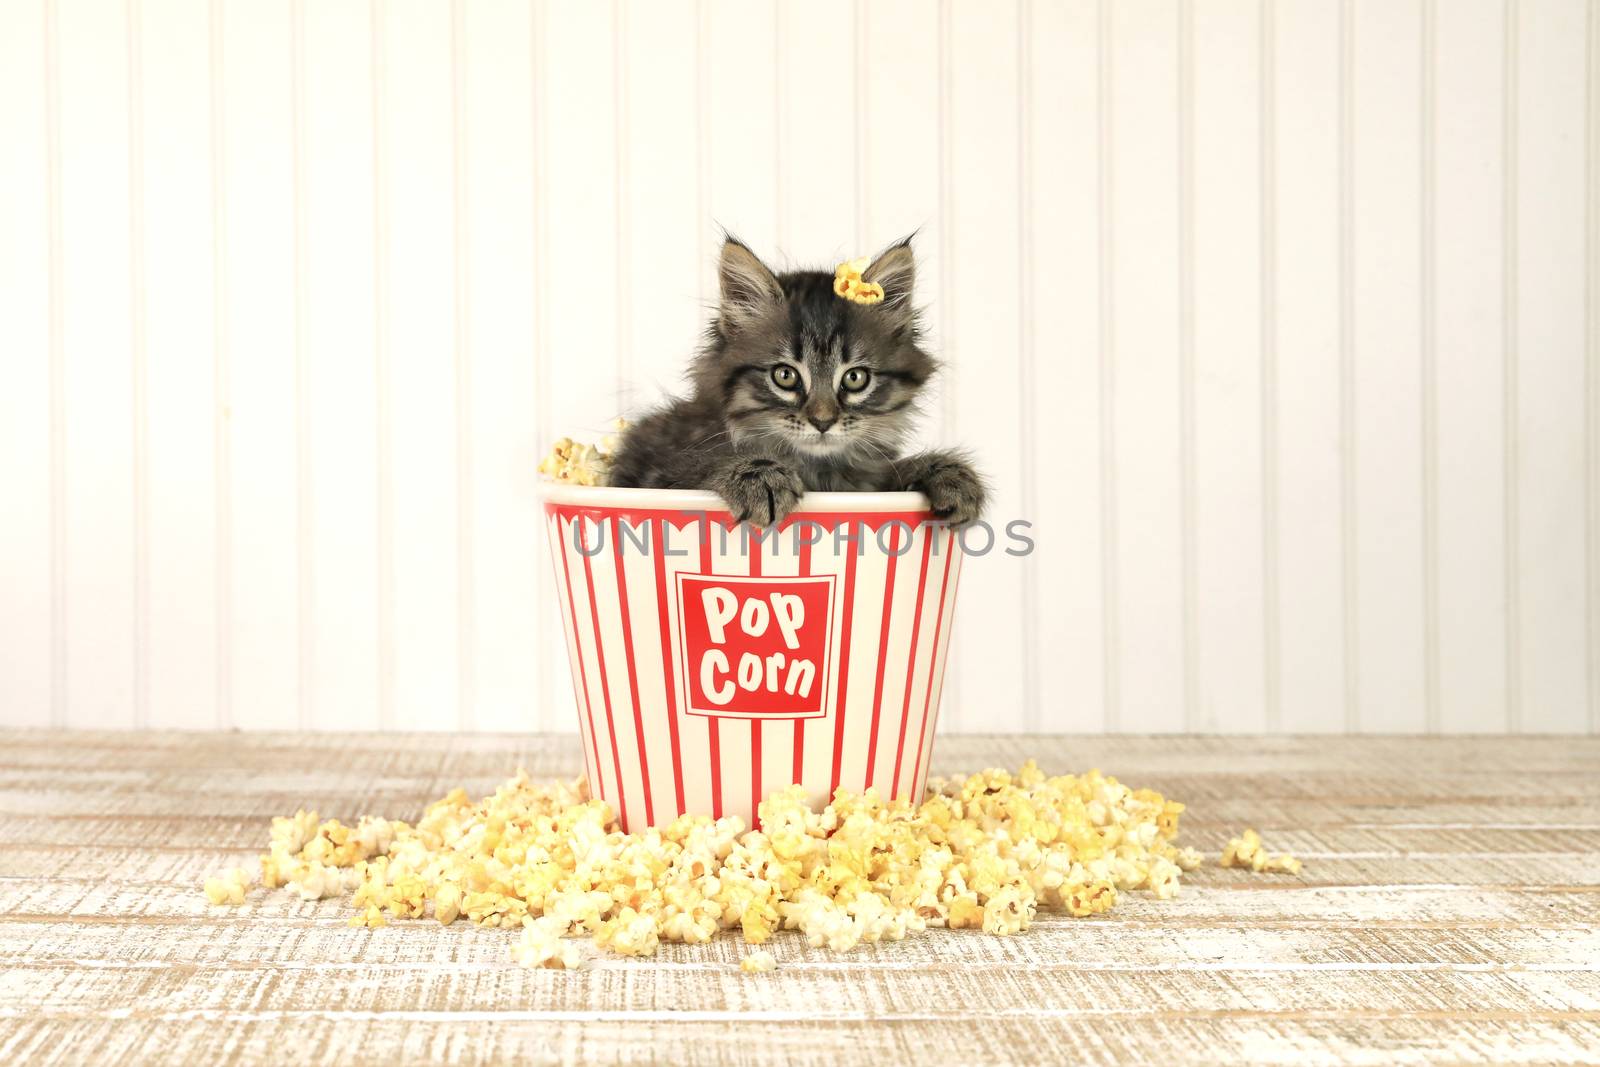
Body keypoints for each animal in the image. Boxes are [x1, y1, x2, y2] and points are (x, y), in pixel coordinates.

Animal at [608, 238, 985, 531]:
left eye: (855, 378)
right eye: (785, 376)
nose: (822, 421)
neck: (817, 472)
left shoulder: (869, 480)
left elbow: (894, 469)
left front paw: (949, 473)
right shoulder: (661, 471)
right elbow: (703, 462)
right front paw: (757, 476)